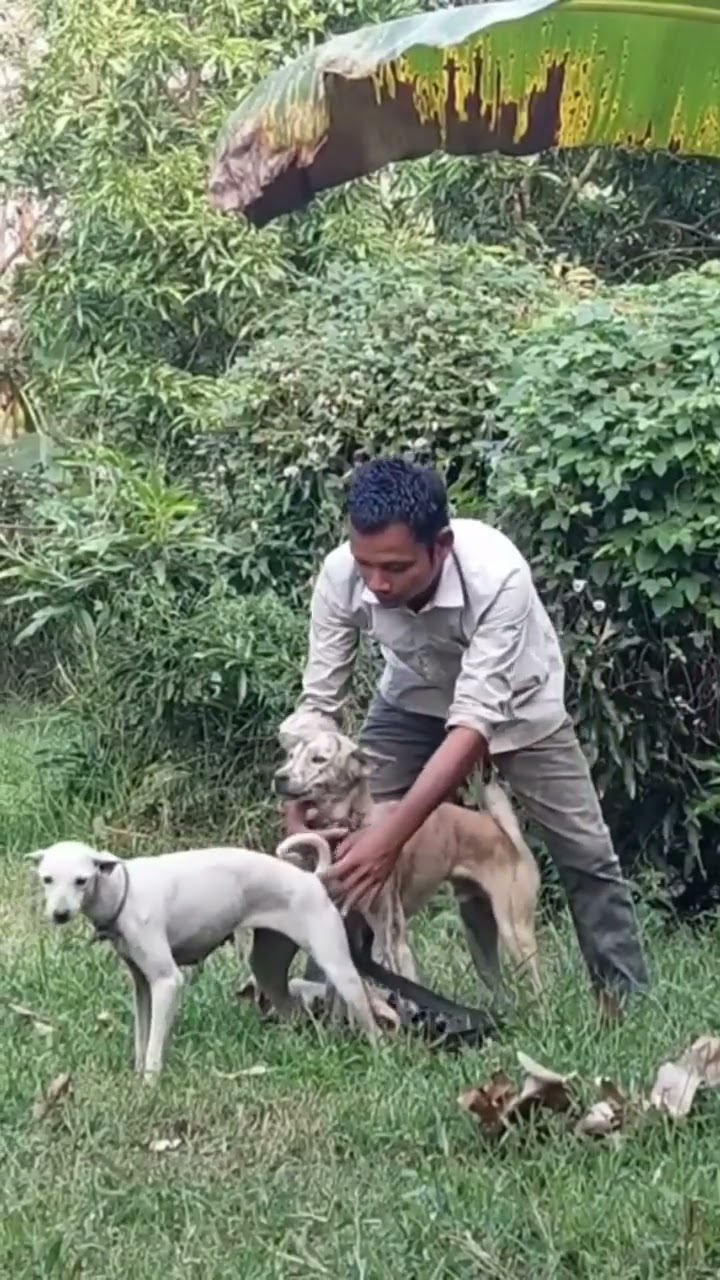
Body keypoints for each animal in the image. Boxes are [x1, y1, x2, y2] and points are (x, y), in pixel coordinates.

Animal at [31, 834, 386, 1075]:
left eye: (81, 880)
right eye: (47, 879)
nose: (59, 914)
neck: (122, 891)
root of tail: (313, 878)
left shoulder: (167, 982)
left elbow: (154, 1045)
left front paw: (149, 1084)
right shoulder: (142, 986)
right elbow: (143, 1038)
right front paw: (136, 1076)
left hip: (340, 969)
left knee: (371, 1025)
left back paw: (378, 1059)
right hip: (267, 967)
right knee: (295, 1013)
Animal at [272, 727, 538, 993]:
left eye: (319, 759)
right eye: (291, 755)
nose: (278, 777)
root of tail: (500, 829)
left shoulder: (390, 938)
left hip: (514, 930)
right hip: (478, 932)